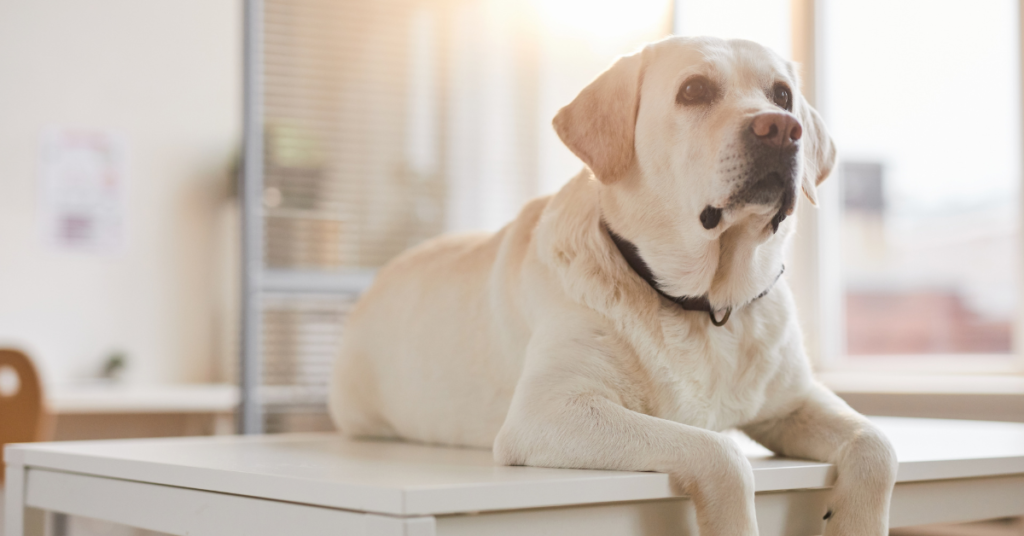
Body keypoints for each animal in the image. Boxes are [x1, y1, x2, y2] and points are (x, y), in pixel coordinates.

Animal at [329, 35, 897, 532]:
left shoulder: (796, 400)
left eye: (782, 95)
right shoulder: (549, 412)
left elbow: (878, 445)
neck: (706, 303)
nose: (781, 128)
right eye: (694, 90)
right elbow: (719, 449)